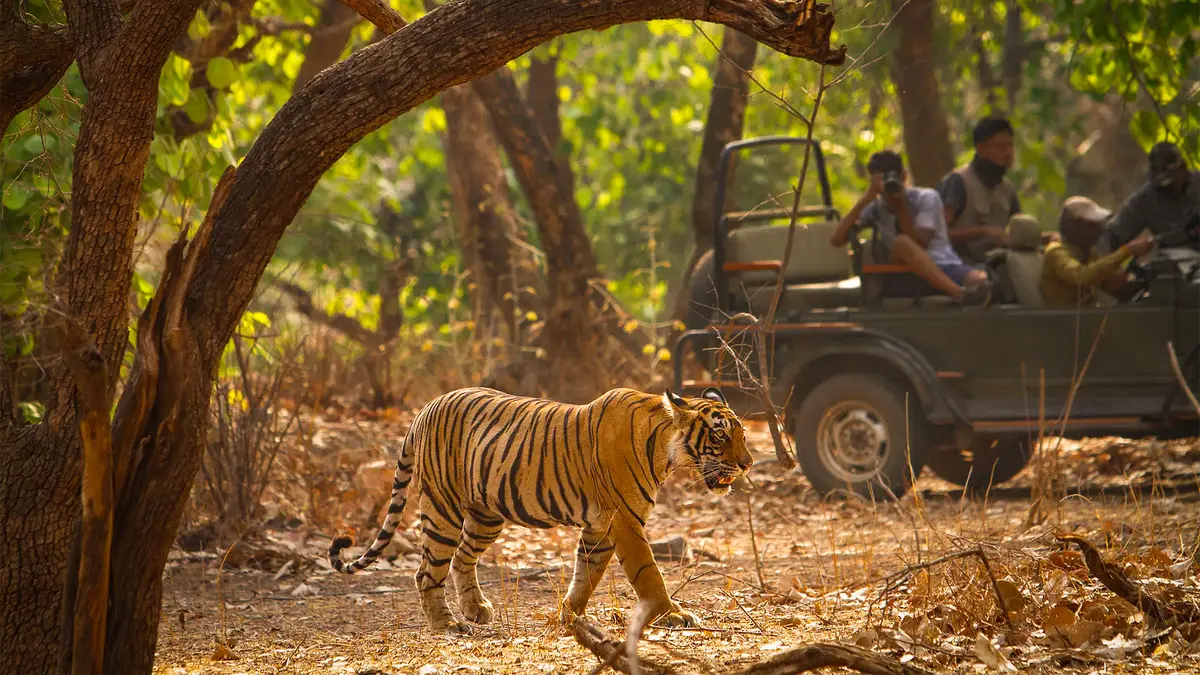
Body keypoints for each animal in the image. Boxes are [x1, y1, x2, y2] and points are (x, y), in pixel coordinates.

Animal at [328, 385, 753, 633]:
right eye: (720, 435)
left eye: (743, 434)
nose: (748, 464)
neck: (665, 448)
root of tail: (424, 409)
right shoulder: (625, 522)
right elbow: (649, 575)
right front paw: (673, 615)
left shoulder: (600, 527)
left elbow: (587, 574)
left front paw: (571, 615)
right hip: (442, 508)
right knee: (426, 571)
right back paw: (446, 624)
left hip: (485, 516)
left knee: (462, 558)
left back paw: (476, 609)